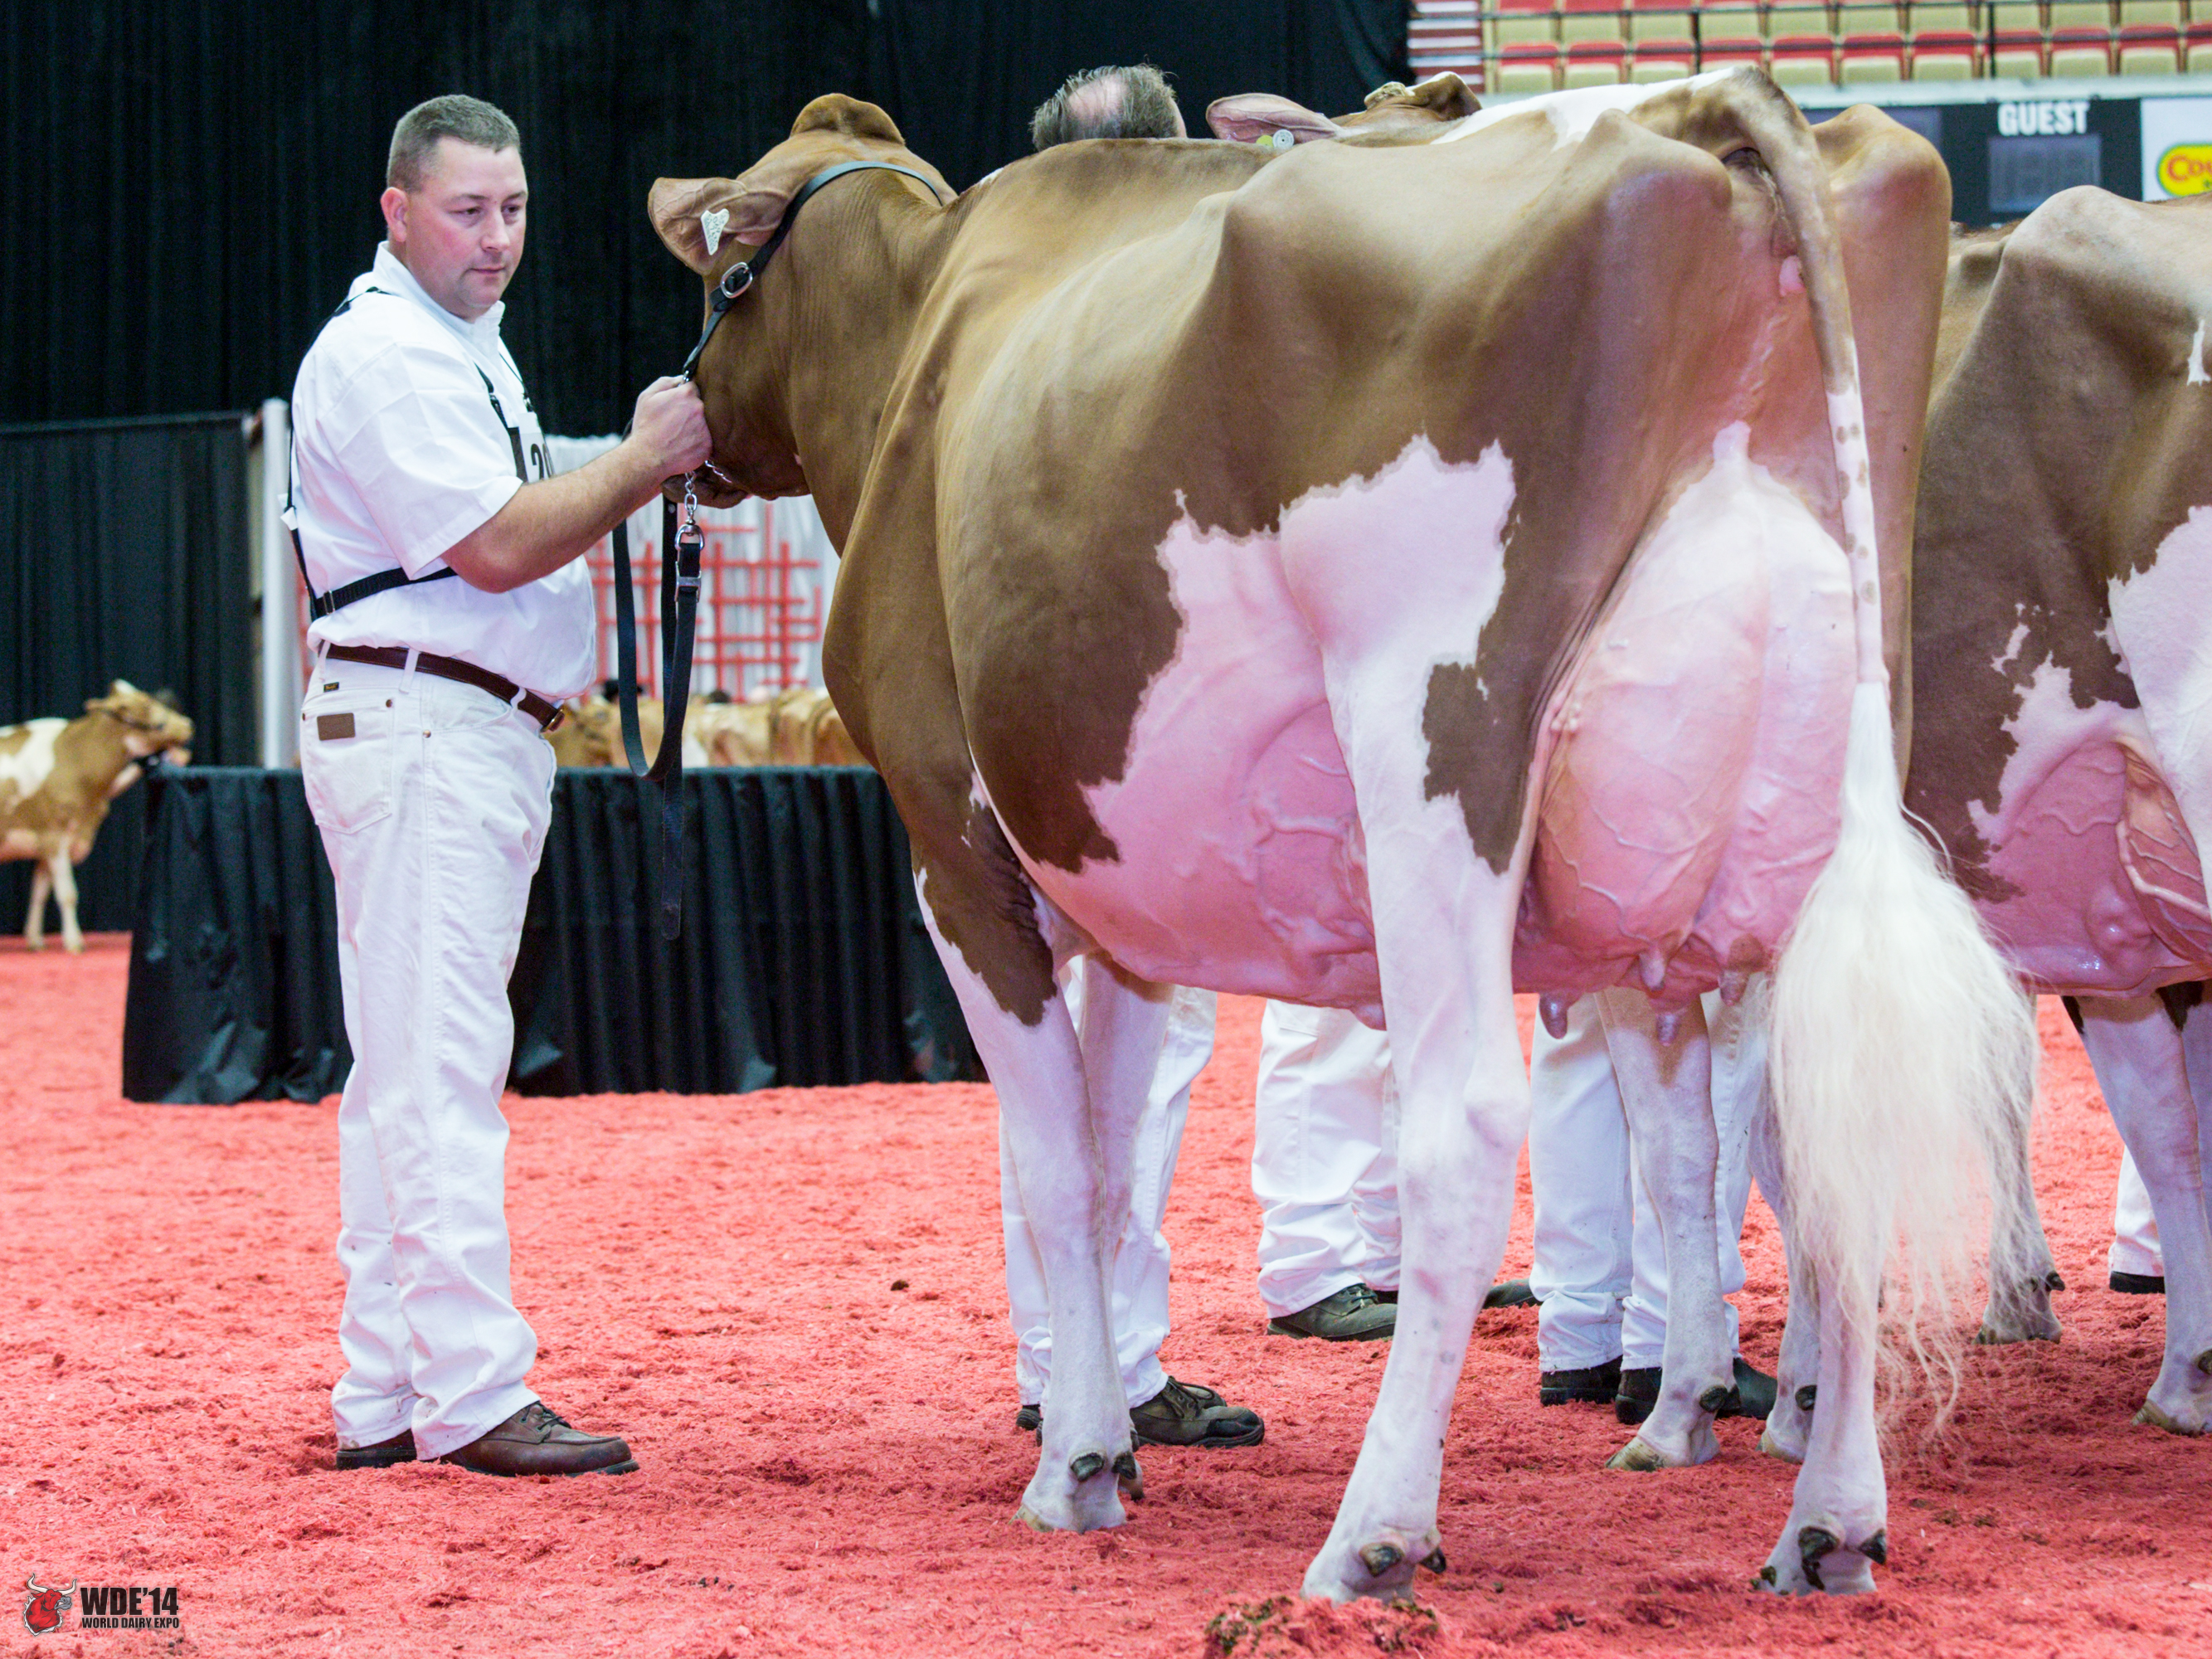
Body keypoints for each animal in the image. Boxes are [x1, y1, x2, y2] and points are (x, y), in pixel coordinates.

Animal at [1, 682, 194, 953]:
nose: (187, 724)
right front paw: (74, 943)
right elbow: (67, 894)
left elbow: (39, 893)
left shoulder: (46, 841)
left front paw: (35, 940)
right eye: (145, 704)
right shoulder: (55, 834)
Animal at [649, 72, 2033, 1598]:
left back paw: (1371, 1535)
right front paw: (1113, 1429)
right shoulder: (1124, 896)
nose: (681, 419)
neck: (920, 337)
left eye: (716, 272)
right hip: (1822, 793)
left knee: (1467, 1125)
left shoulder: (951, 853)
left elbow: (1054, 1169)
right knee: (1833, 1123)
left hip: (1432, 753)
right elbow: (1117, 1164)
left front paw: (1072, 1467)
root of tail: (1699, 101)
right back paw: (1825, 1516)